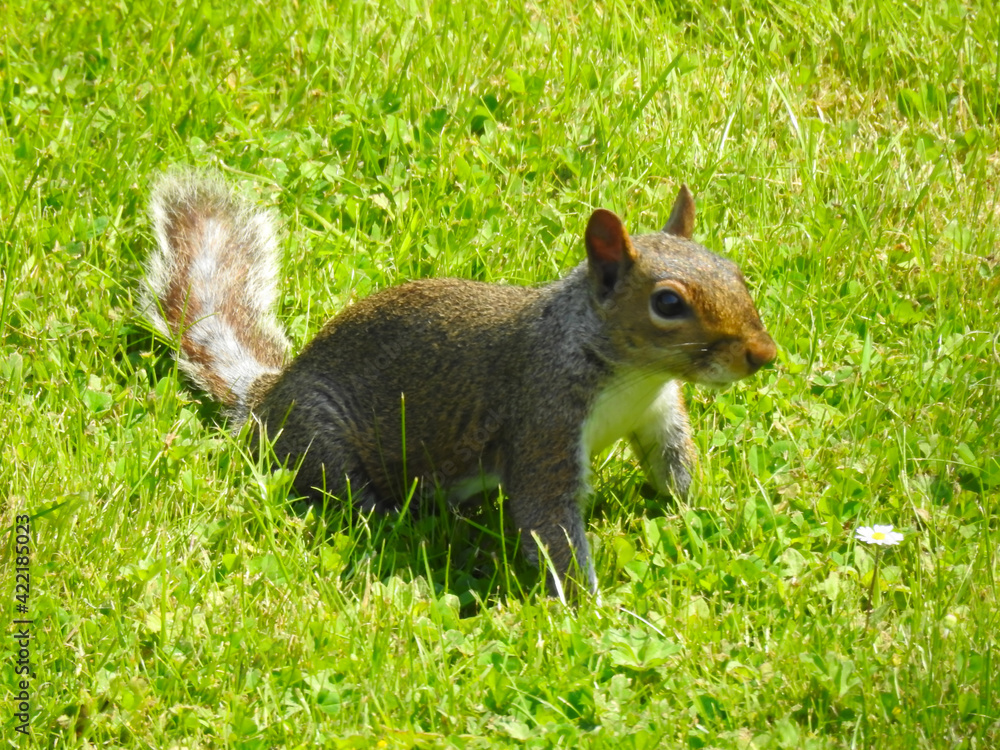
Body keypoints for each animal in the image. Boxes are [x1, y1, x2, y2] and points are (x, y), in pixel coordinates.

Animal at [142, 172, 776, 600]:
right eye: (667, 303)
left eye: (735, 271)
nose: (764, 355)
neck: (632, 377)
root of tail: (267, 395)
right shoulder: (543, 419)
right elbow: (549, 519)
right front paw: (592, 611)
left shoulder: (658, 415)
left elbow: (674, 468)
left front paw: (707, 519)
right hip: (319, 439)